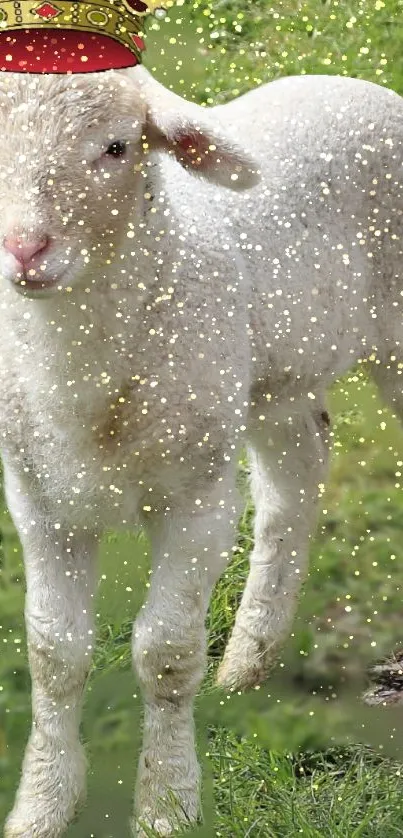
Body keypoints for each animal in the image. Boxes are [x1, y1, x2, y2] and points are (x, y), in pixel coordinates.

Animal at [2, 67, 403, 838]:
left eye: (117, 147)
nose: (24, 251)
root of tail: (357, 84)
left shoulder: (196, 497)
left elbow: (165, 652)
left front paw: (167, 802)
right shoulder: (39, 499)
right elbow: (53, 652)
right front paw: (41, 804)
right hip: (270, 375)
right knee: (295, 480)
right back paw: (248, 662)